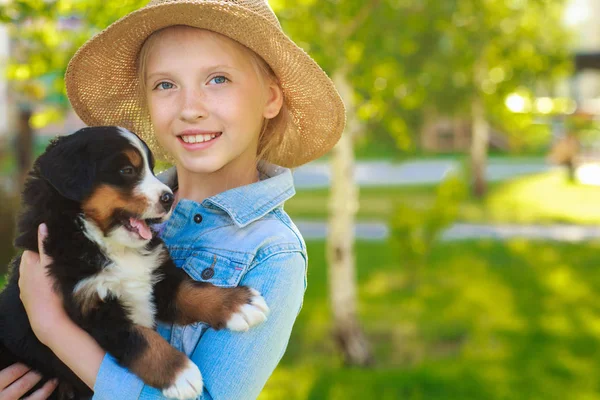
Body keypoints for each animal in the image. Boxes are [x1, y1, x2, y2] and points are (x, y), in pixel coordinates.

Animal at [0, 127, 268, 400]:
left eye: (151, 168)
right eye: (127, 170)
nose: (168, 198)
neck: (112, 246)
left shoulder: (158, 275)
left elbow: (191, 291)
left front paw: (238, 304)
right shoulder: (93, 308)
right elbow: (141, 341)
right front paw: (181, 374)